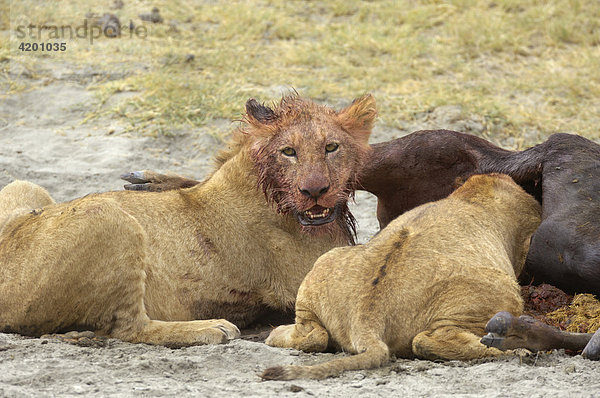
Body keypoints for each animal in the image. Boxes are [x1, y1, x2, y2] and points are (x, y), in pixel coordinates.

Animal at [260, 173, 540, 380]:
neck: (476, 193)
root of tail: (367, 313)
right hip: (498, 292)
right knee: (427, 340)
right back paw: (519, 350)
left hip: (321, 268)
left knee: (314, 335)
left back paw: (274, 335)